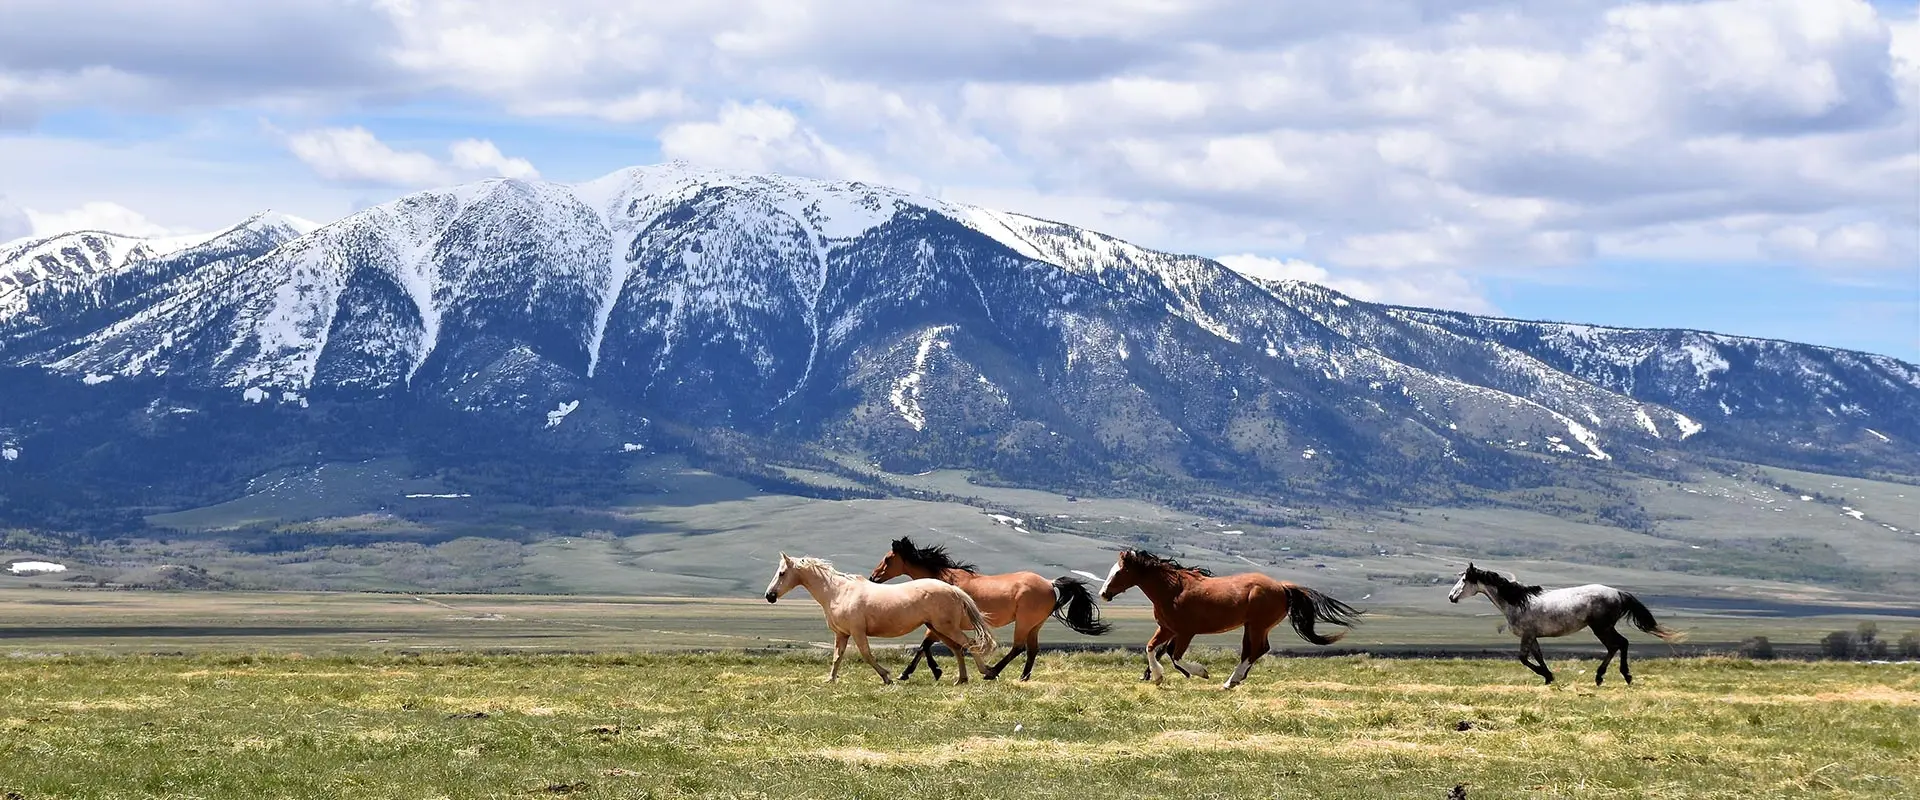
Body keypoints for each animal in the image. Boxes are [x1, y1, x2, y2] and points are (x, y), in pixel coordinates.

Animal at [763, 553, 998, 684]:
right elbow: (837, 657)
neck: (837, 592)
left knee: (969, 644)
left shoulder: (857, 632)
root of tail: (953, 589)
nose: (769, 596)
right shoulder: (842, 634)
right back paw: (962, 679)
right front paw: (830, 679)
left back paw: (987, 672)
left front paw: (887, 677)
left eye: (782, 573)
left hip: (945, 628)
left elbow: (867, 655)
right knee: (958, 649)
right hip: (938, 629)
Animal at [868, 536, 1112, 682]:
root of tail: (1049, 583)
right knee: (1032, 650)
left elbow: (923, 646)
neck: (945, 581)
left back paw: (992, 672)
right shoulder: (938, 624)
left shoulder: (940, 623)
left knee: (1018, 647)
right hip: (1035, 624)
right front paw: (929, 672)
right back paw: (1023, 677)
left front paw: (911, 673)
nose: (873, 577)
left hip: (1024, 622)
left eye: (888, 559)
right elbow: (926, 645)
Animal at [1097, 549, 1363, 689]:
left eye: (1119, 572)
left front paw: (1200, 672)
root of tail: (1283, 587)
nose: (1103, 594)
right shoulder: (1166, 628)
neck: (1172, 590)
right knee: (1255, 650)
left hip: (1257, 625)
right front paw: (1157, 676)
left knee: (1255, 650)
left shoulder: (1185, 632)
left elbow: (1176, 656)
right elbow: (1152, 648)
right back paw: (1236, 680)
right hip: (1252, 626)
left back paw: (1229, 682)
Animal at [1448, 562, 1685, 685]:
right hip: (1603, 627)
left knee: (1620, 644)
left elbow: (1523, 658)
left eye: (1464, 580)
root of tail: (1618, 592)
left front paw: (1546, 676)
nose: (1451, 597)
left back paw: (1621, 676)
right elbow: (1538, 656)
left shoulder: (1526, 635)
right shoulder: (1533, 636)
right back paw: (1601, 677)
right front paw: (1548, 677)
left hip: (1601, 627)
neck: (1517, 602)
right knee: (1615, 646)